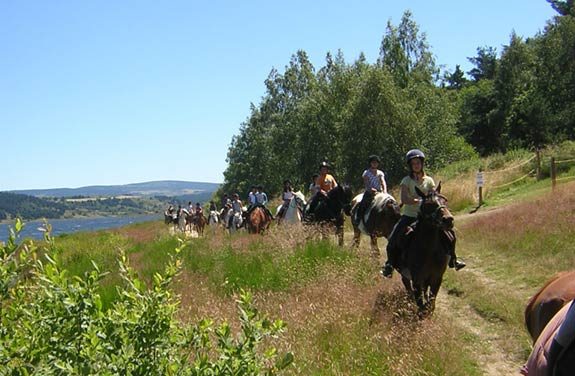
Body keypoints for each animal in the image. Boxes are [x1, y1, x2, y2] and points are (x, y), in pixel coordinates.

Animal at [400, 182, 454, 318]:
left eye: (445, 200)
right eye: (429, 204)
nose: (449, 220)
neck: (429, 249)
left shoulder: (436, 278)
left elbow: (431, 302)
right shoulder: (417, 279)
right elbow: (421, 304)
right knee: (408, 289)